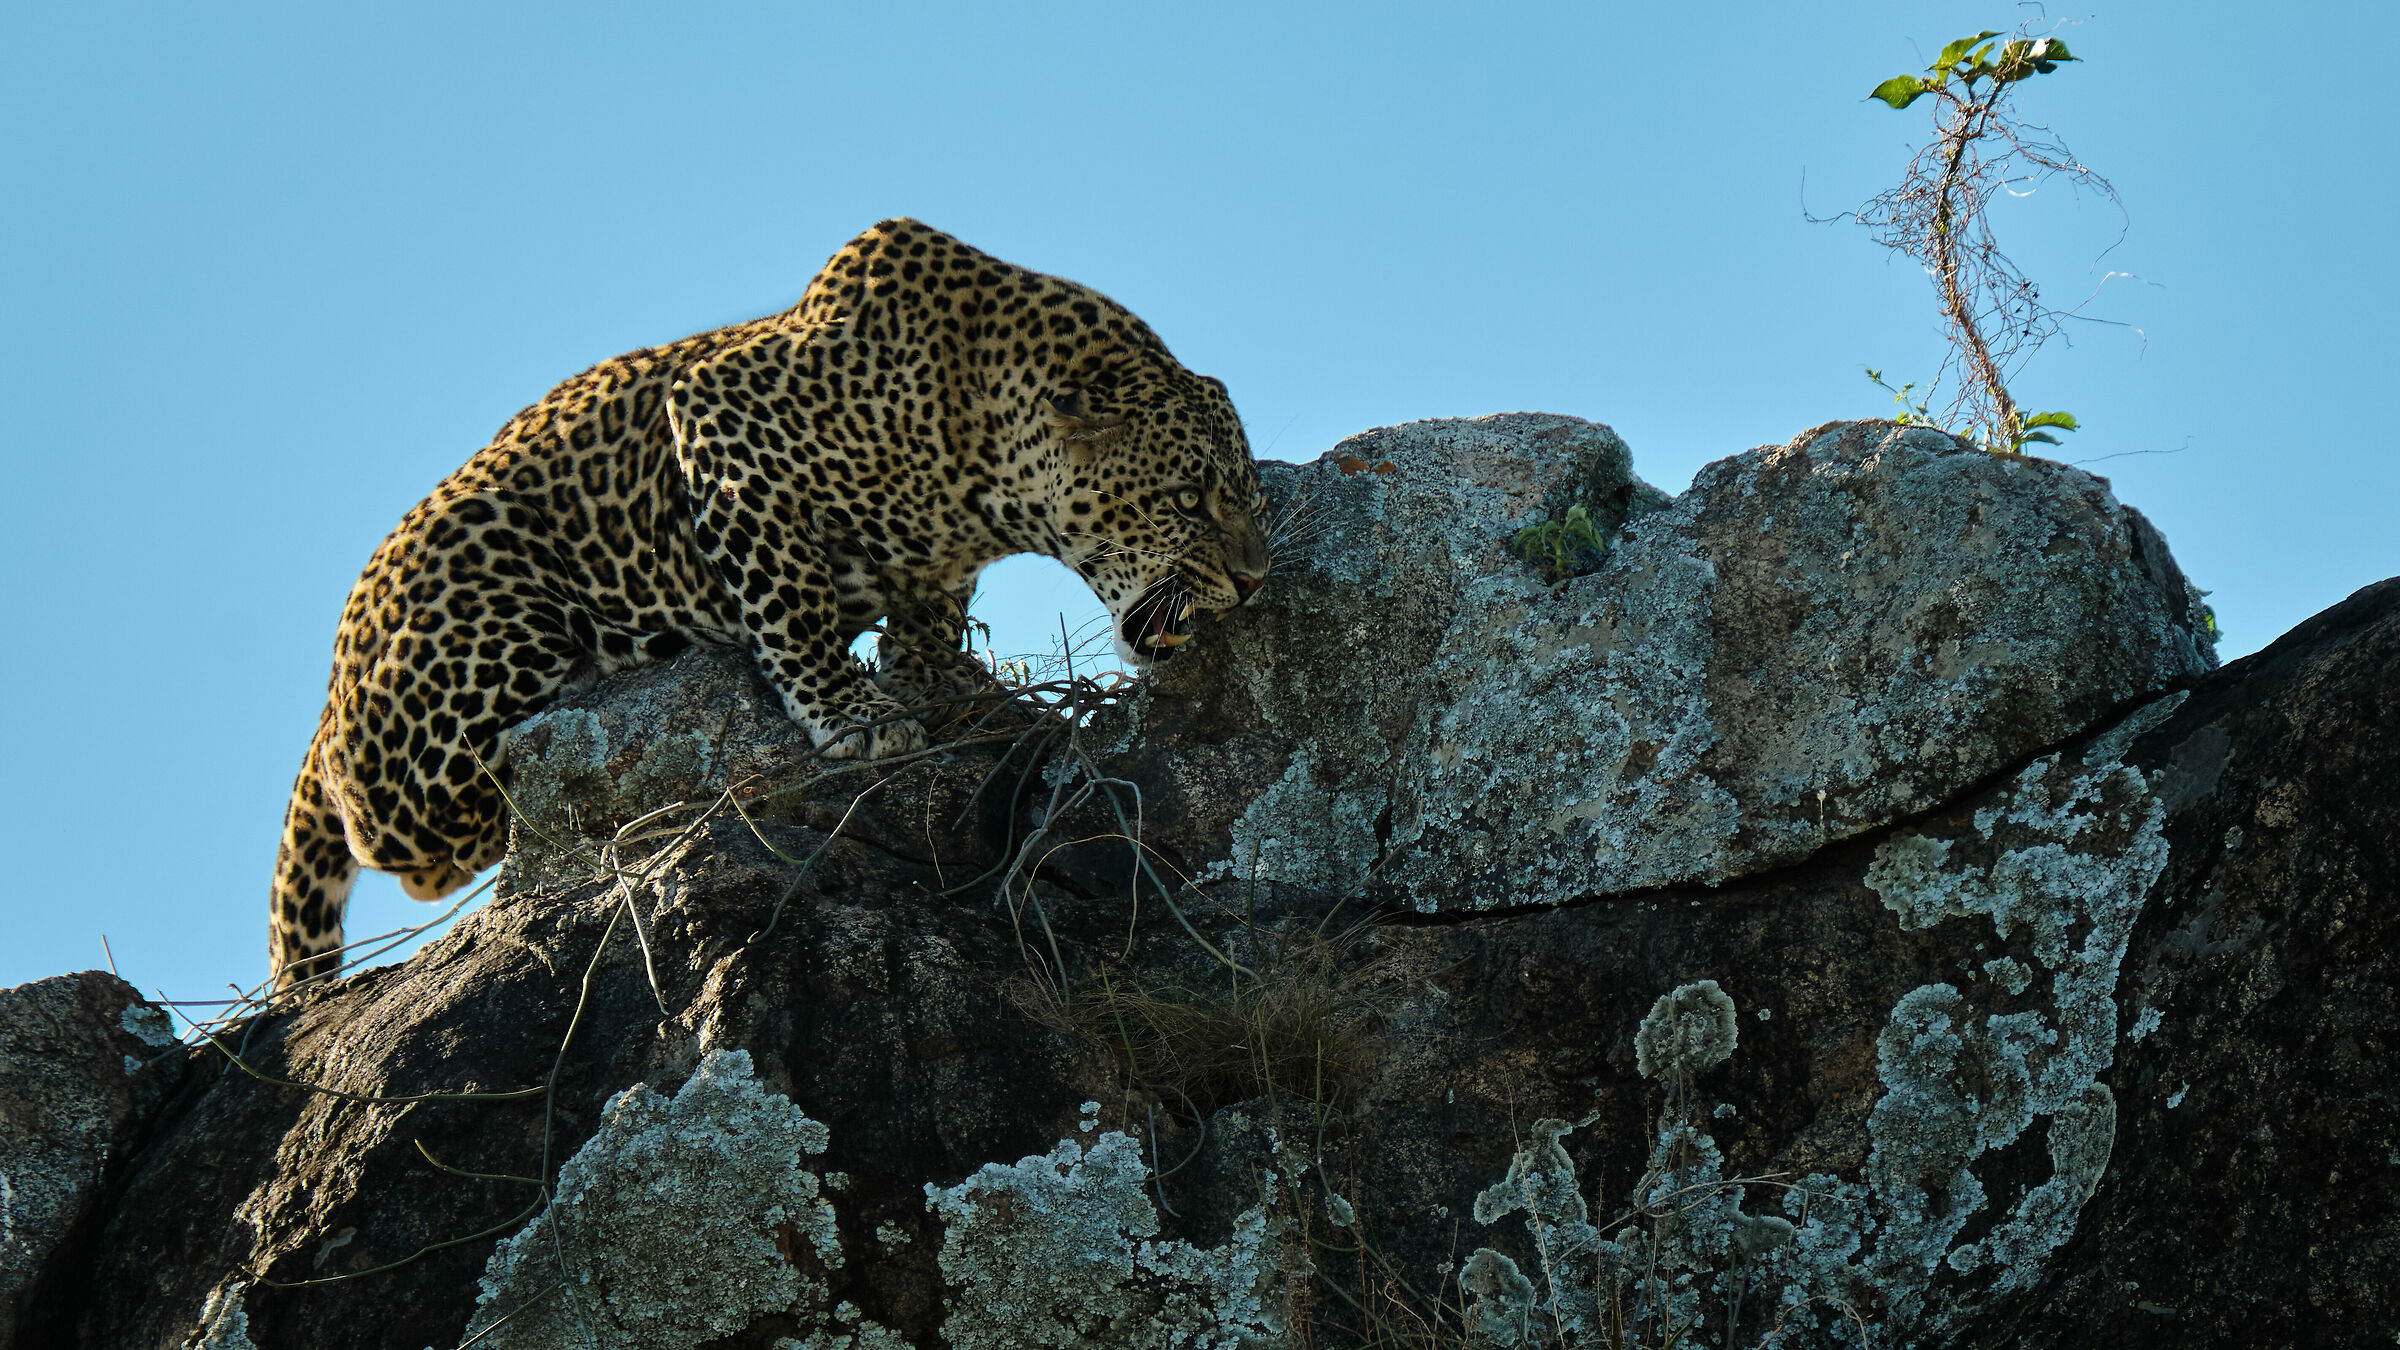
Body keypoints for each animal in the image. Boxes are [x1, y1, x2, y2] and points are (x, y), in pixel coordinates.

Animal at [268, 219, 1272, 988]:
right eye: (1189, 498)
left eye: (1249, 499)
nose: (1255, 579)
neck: (982, 455)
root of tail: (335, 678)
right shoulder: (723, 420)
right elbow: (790, 596)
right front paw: (851, 710)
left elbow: (931, 606)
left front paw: (935, 675)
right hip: (473, 676)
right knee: (381, 813)